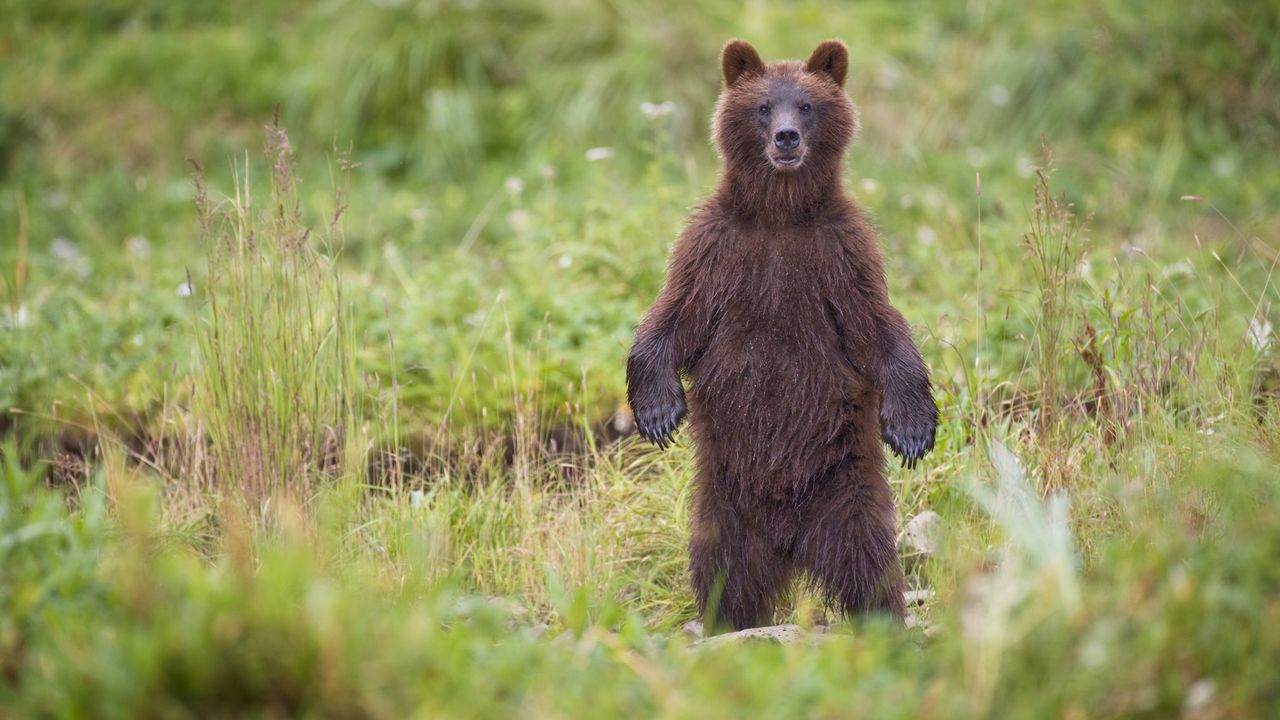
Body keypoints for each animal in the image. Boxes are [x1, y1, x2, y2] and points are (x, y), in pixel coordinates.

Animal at [626, 39, 938, 631]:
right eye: (764, 106)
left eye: (808, 105)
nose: (786, 137)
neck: (779, 215)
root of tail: (789, 544)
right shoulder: (717, 250)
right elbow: (674, 318)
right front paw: (657, 411)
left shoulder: (839, 255)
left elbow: (878, 331)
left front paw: (912, 427)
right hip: (723, 503)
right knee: (724, 571)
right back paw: (725, 623)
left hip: (846, 490)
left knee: (869, 564)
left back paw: (883, 620)